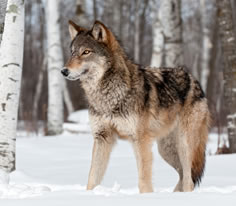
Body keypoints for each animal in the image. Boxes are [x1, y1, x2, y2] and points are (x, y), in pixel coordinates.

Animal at [60, 20, 210, 193]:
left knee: (188, 180)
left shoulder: (140, 140)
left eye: (86, 52)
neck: (109, 95)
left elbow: (144, 180)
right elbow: (92, 178)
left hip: (184, 145)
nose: (63, 71)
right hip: (165, 150)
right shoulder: (102, 137)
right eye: (72, 52)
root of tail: (195, 80)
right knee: (183, 176)